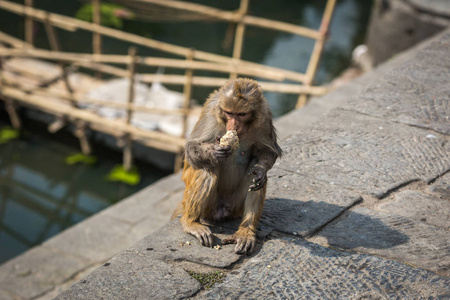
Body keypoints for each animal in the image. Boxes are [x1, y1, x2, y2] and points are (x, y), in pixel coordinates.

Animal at [172, 78, 282, 255]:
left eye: (241, 114)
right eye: (229, 113)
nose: (234, 125)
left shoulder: (264, 116)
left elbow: (267, 152)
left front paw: (260, 171)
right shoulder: (211, 114)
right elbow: (191, 148)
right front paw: (212, 151)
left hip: (236, 206)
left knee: (254, 176)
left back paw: (246, 231)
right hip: (207, 208)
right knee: (208, 169)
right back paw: (191, 223)